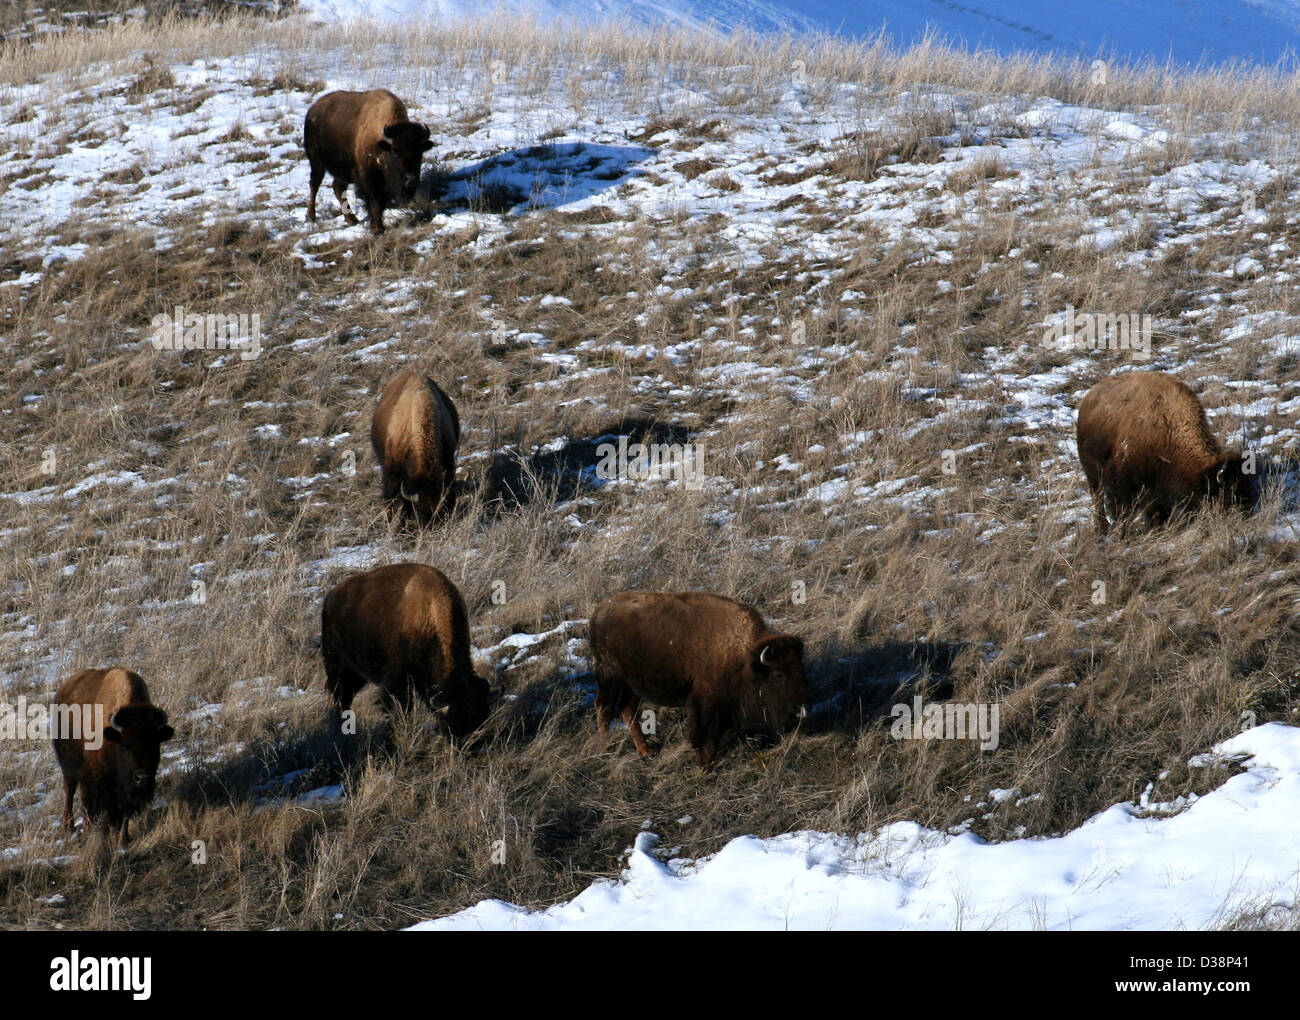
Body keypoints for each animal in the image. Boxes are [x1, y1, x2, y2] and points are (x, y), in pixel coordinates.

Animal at [304, 88, 433, 234]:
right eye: (395, 151)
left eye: (420, 151)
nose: (410, 179)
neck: (381, 144)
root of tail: (313, 110)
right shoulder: (370, 179)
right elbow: (375, 203)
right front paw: (377, 229)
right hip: (316, 163)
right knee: (314, 185)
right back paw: (311, 217)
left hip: (344, 172)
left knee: (337, 187)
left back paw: (352, 220)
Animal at [589, 591, 809, 768]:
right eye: (779, 676)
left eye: (801, 671)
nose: (799, 713)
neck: (745, 657)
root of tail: (600, 609)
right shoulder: (706, 702)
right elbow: (705, 735)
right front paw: (704, 765)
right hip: (609, 677)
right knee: (603, 707)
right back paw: (604, 746)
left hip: (634, 685)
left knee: (627, 710)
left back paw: (646, 752)